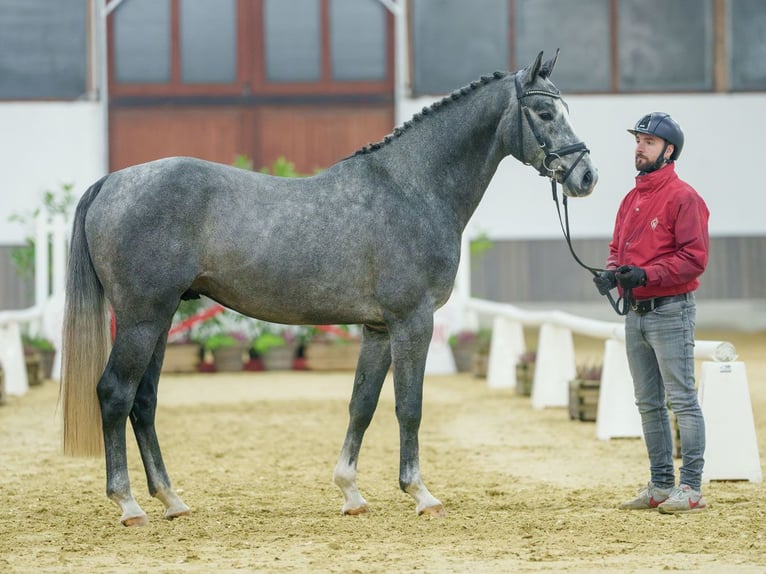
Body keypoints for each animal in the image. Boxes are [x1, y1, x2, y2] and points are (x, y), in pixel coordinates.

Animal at [61, 51, 600, 528]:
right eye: (545, 112)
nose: (587, 176)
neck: (412, 189)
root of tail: (112, 182)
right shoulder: (413, 321)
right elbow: (409, 406)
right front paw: (420, 494)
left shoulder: (378, 329)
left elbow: (362, 404)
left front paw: (351, 493)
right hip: (142, 316)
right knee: (115, 393)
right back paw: (129, 504)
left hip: (161, 316)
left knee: (144, 401)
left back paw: (172, 500)